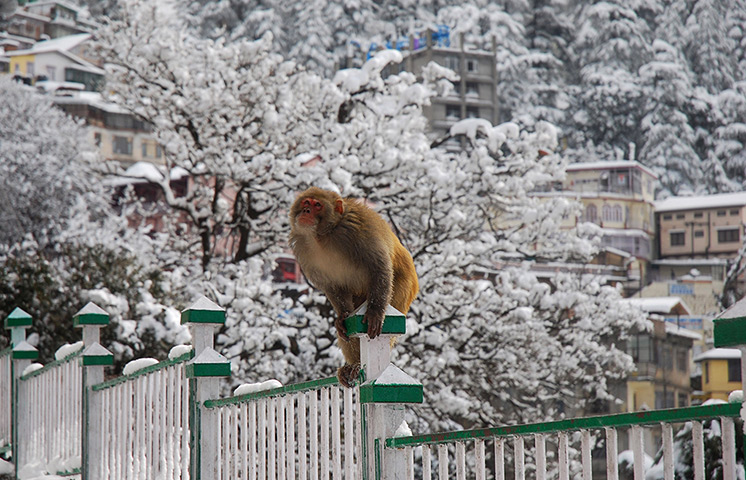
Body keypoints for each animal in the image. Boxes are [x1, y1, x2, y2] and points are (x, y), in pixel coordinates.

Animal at [289, 187, 418, 387]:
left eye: (317, 205)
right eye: (306, 202)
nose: (306, 211)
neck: (324, 235)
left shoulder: (356, 230)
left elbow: (378, 267)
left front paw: (375, 311)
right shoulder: (304, 249)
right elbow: (332, 286)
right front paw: (342, 316)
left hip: (403, 285)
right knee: (350, 329)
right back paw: (352, 365)